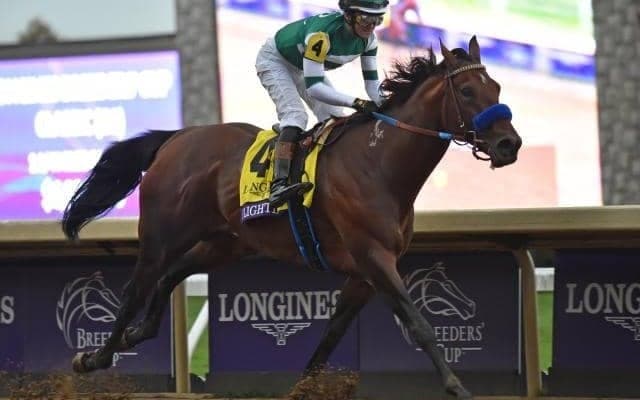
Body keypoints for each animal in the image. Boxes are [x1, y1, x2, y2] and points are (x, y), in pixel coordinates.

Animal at [61, 37, 521, 399]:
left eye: (497, 86)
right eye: (466, 91)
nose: (509, 145)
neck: (378, 164)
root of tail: (177, 138)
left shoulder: (362, 274)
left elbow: (329, 339)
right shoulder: (374, 257)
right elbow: (419, 323)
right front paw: (457, 387)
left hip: (224, 243)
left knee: (170, 275)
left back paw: (135, 335)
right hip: (162, 233)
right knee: (135, 289)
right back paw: (95, 357)